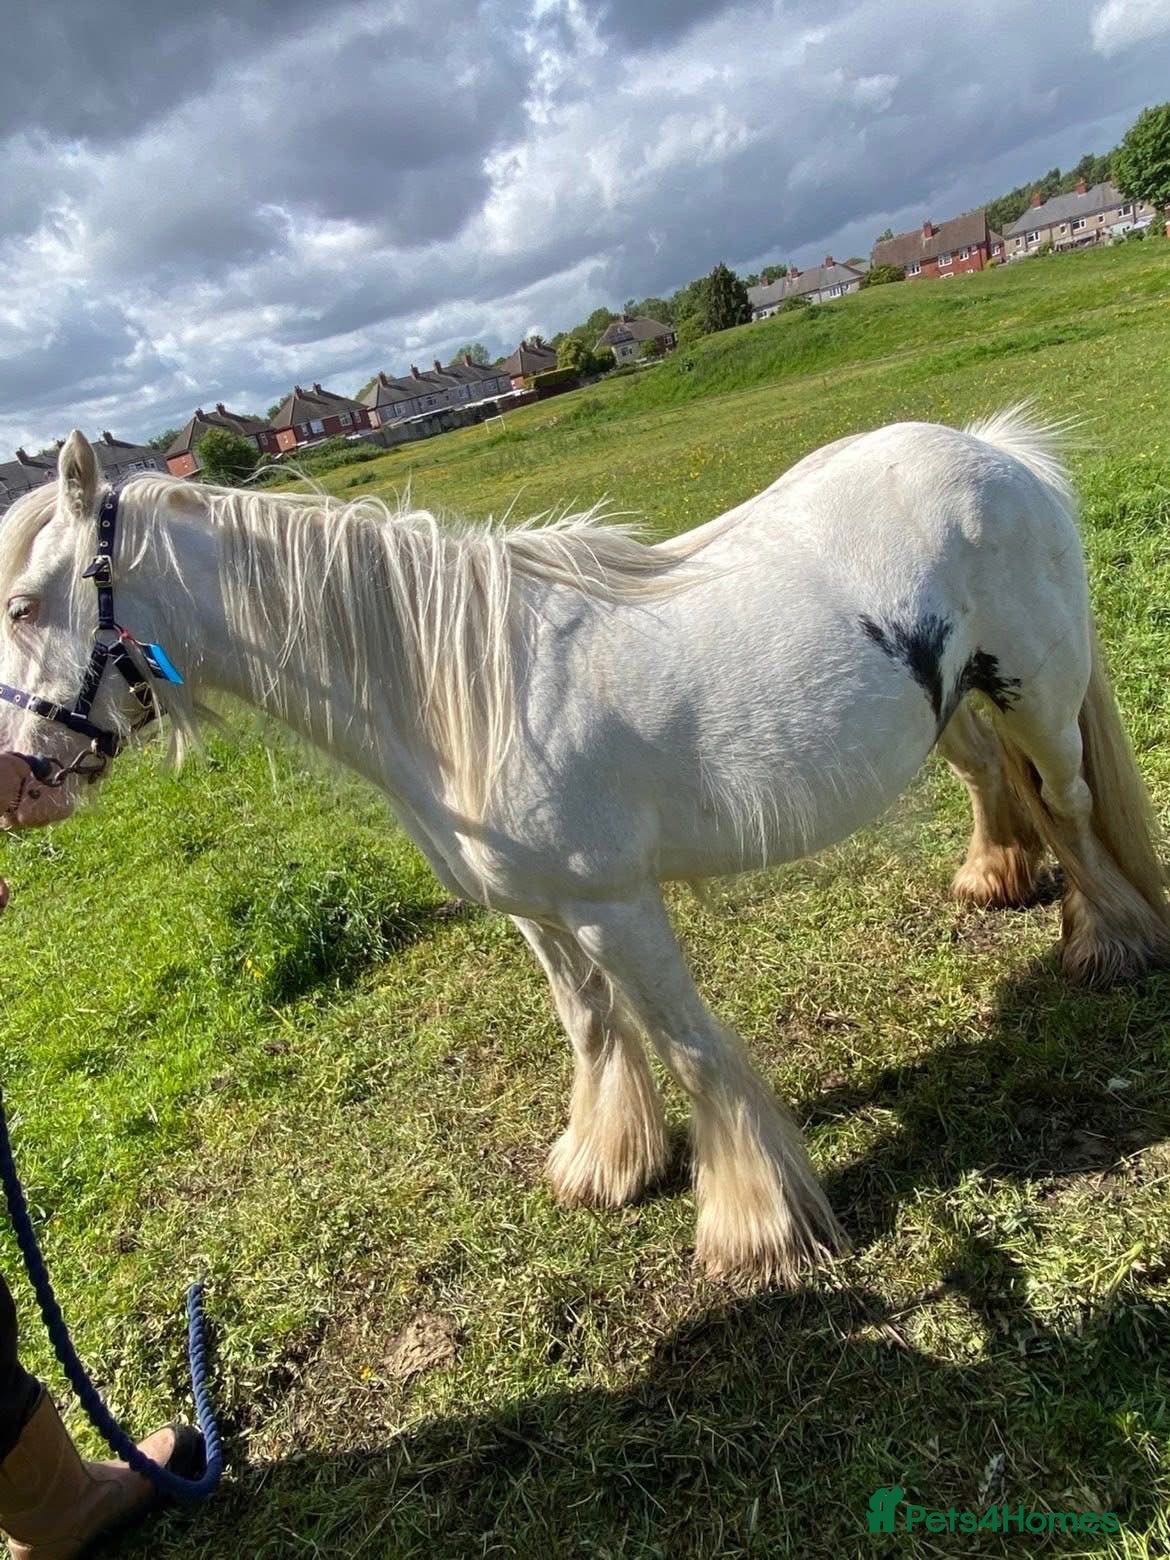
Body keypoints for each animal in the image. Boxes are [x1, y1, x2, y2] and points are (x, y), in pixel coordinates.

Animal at [0, 412, 1165, 1287]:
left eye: (19, 604)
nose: (20, 783)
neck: (457, 689)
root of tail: (994, 449)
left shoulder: (616, 906)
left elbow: (690, 1047)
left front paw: (754, 1228)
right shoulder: (538, 911)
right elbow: (592, 1026)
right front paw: (609, 1163)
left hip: (1039, 699)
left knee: (1067, 804)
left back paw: (1109, 941)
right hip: (953, 703)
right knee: (988, 779)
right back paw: (994, 877)